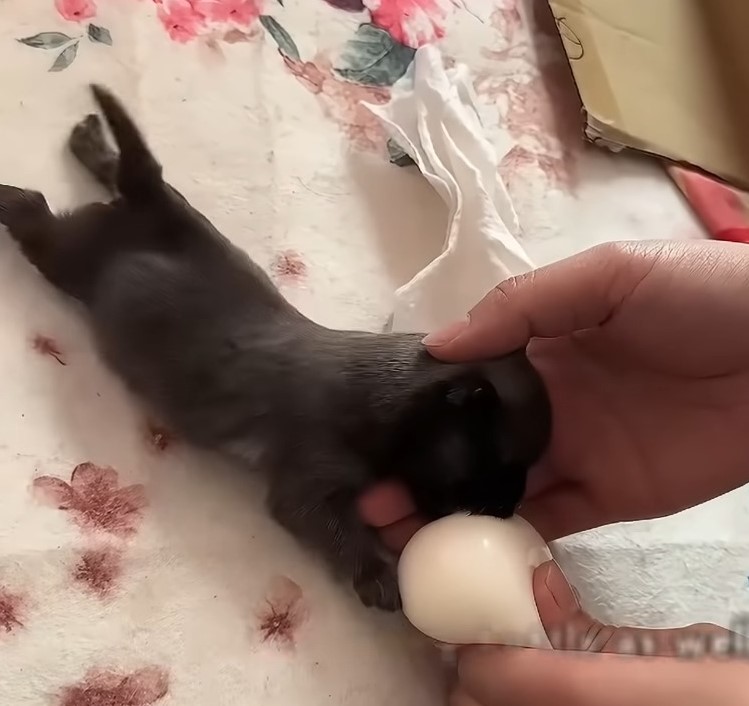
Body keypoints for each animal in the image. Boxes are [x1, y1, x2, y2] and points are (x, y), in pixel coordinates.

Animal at [0, 84, 548, 612]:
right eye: (495, 464)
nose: (509, 510)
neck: (388, 391)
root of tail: (152, 202)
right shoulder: (307, 489)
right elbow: (343, 533)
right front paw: (380, 577)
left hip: (148, 211)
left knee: (108, 176)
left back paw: (88, 141)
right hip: (73, 259)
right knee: (35, 212)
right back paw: (10, 196)